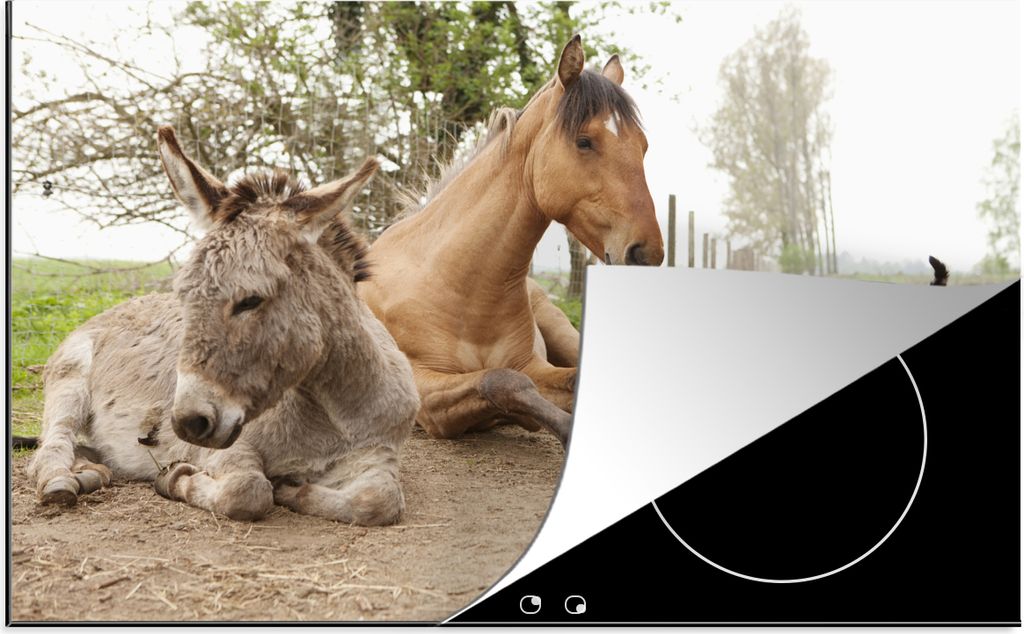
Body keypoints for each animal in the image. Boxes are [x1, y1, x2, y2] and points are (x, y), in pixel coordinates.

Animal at [27, 126, 420, 524]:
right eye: (183, 296)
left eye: (251, 300)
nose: (188, 423)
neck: (331, 413)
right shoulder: (231, 447)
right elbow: (248, 490)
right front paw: (175, 479)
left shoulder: (378, 453)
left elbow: (378, 501)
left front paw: (294, 489)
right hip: (70, 382)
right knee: (51, 445)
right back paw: (62, 481)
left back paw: (91, 472)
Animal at [359, 35, 663, 447]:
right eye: (584, 141)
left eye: (642, 146)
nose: (647, 252)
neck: (459, 287)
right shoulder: (426, 392)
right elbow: (503, 381)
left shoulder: (533, 364)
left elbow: (563, 379)